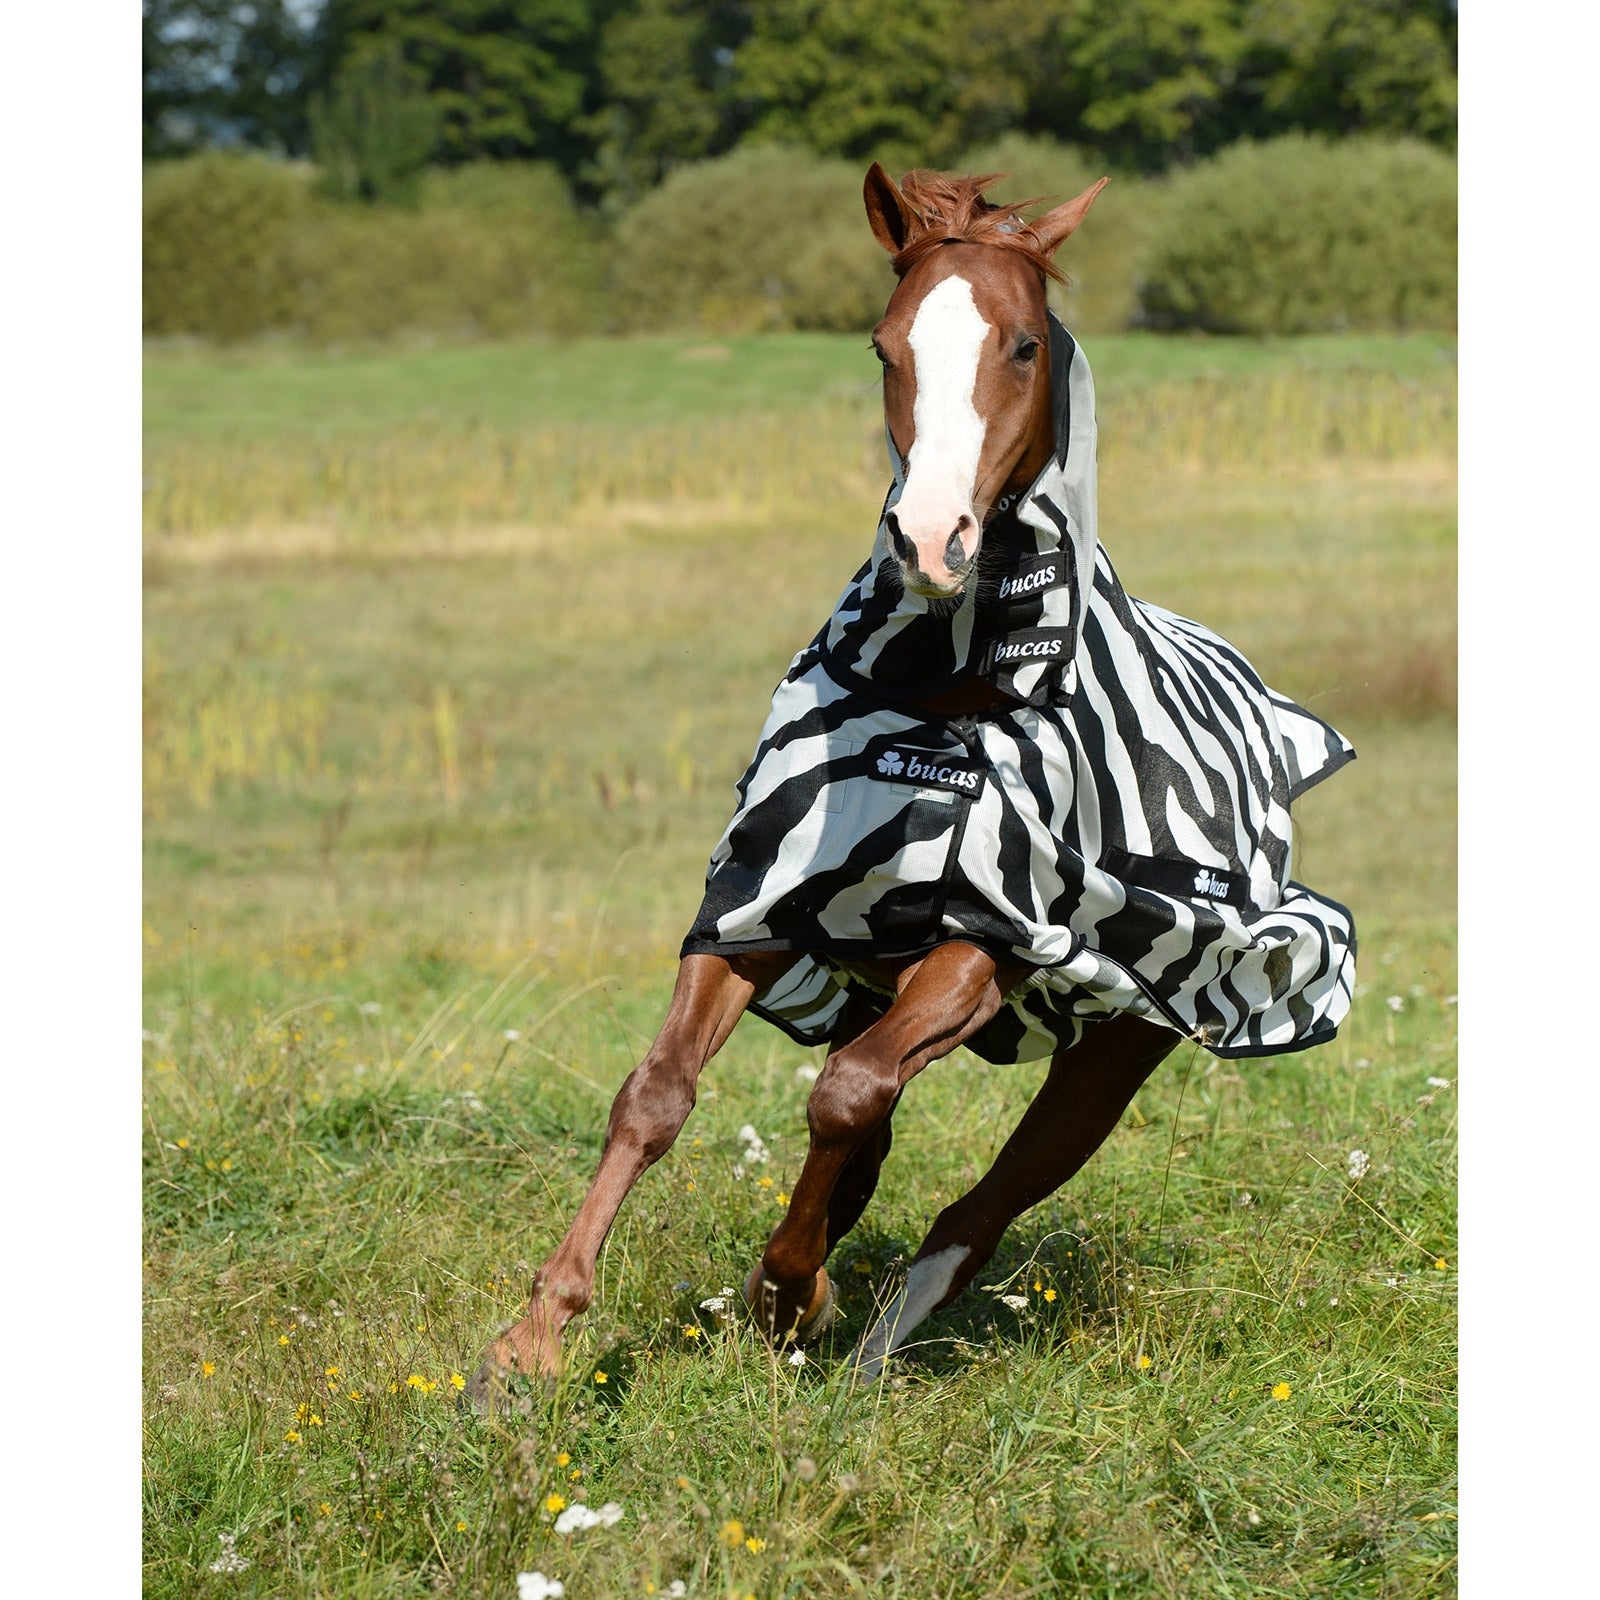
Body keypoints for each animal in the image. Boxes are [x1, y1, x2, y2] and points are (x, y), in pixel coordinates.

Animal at [467, 163, 1356, 1408]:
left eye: (1023, 346)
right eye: (885, 344)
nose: (929, 540)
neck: (949, 689)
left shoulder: (989, 937)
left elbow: (845, 1093)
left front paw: (787, 1293)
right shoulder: (756, 906)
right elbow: (655, 1096)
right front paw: (535, 1338)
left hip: (1109, 1057)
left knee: (970, 1206)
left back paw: (868, 1354)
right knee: (872, 1137)